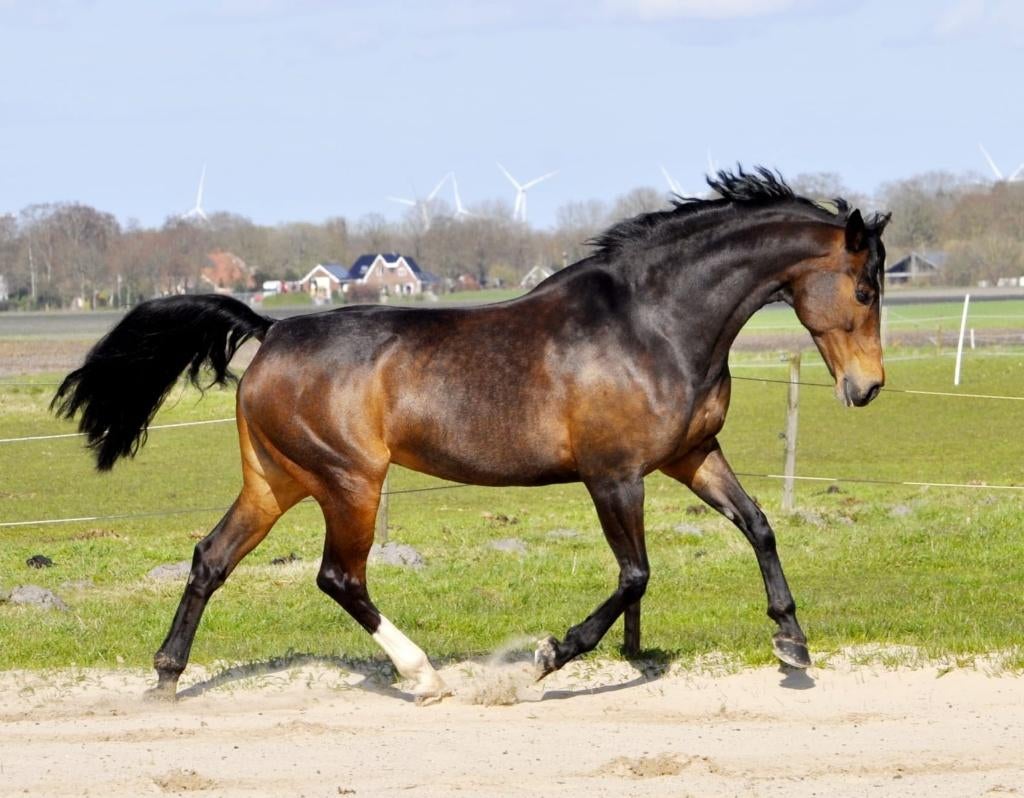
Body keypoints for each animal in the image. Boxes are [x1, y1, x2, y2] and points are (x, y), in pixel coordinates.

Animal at [53, 167, 891, 702]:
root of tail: (272, 329)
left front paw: (792, 644)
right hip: (349, 482)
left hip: (276, 479)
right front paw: (540, 662)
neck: (651, 323)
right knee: (338, 577)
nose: (867, 388)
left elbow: (759, 524)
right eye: (863, 287)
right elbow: (635, 576)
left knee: (210, 558)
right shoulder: (613, 474)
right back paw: (425, 677)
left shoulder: (690, 456)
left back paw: (165, 676)